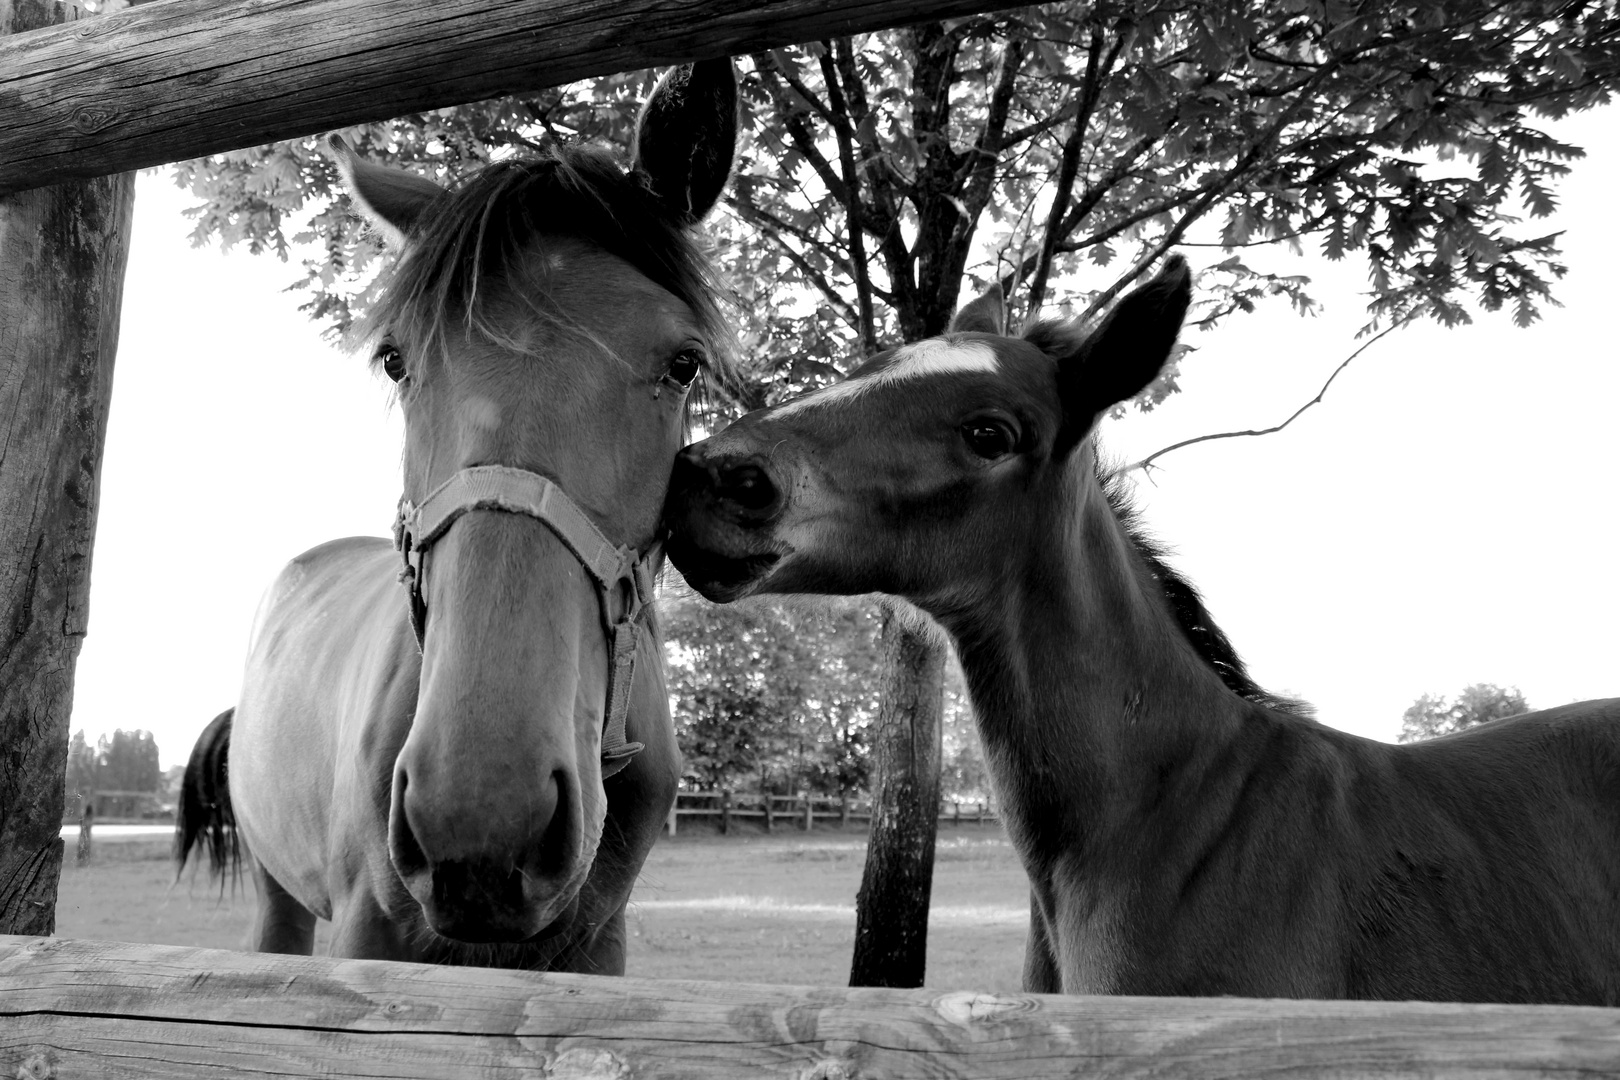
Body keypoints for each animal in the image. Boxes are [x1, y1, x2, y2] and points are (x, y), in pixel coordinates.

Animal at [175, 61, 735, 971]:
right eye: (395, 360)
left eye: (684, 364)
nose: (481, 813)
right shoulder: (367, 933)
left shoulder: (598, 948)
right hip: (278, 893)